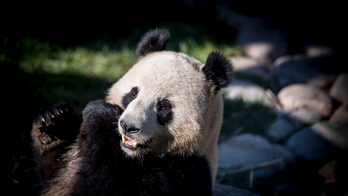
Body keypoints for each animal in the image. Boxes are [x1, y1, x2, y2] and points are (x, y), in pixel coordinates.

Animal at [31, 28, 232, 195]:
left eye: (163, 106)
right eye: (133, 93)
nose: (128, 126)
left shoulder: (184, 174)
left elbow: (100, 184)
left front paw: (100, 115)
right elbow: (55, 177)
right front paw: (55, 122)